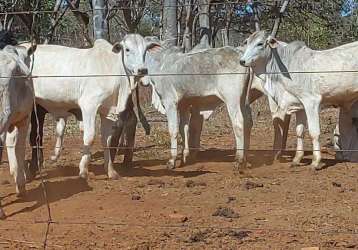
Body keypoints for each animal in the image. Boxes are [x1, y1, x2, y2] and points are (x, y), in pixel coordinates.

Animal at [24, 34, 159, 180]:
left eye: (146, 50)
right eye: (127, 49)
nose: (142, 70)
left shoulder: (107, 111)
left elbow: (106, 140)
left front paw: (110, 171)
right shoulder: (89, 106)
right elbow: (89, 137)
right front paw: (83, 169)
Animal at [239, 30, 358, 169]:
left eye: (260, 43)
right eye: (247, 42)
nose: (242, 61)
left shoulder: (311, 102)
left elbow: (314, 133)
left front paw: (315, 162)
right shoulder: (299, 105)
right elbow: (299, 132)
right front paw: (297, 159)